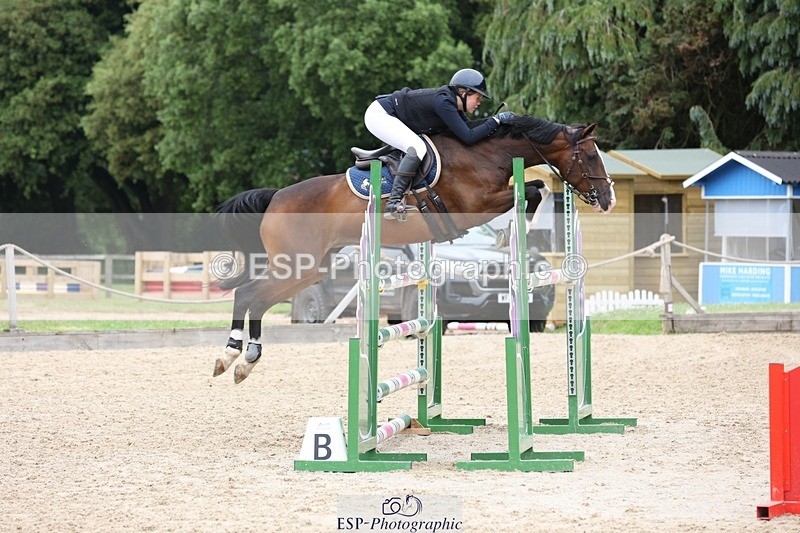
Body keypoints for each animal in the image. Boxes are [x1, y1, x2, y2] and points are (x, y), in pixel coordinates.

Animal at [212, 115, 615, 383]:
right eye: (591, 156)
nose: (608, 198)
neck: (487, 153)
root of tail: (276, 197)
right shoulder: (474, 205)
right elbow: (534, 189)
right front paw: (510, 234)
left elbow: (535, 188)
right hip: (297, 263)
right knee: (248, 294)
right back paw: (234, 355)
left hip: (312, 267)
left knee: (257, 299)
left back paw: (243, 360)